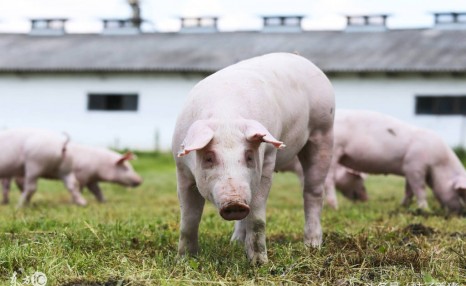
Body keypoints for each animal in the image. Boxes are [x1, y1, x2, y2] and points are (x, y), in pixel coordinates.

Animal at [2, 144, 142, 204]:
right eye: (126, 168)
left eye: (130, 167)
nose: (140, 180)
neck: (99, 165)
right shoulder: (82, 175)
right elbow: (79, 188)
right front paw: (75, 202)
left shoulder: (91, 179)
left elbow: (97, 190)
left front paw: (104, 201)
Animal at [172, 53, 334, 264]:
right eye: (209, 158)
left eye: (249, 156)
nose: (235, 203)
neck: (226, 117)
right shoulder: (182, 168)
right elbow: (189, 219)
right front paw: (184, 261)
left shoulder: (267, 160)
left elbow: (257, 217)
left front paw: (259, 263)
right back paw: (235, 243)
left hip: (323, 130)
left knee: (313, 192)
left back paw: (312, 246)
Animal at [326, 110, 466, 213]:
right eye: (459, 193)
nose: (460, 212)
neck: (439, 164)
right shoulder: (415, 166)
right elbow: (420, 189)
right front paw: (425, 210)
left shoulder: (409, 170)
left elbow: (409, 191)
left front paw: (403, 207)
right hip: (335, 149)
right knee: (329, 180)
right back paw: (334, 207)